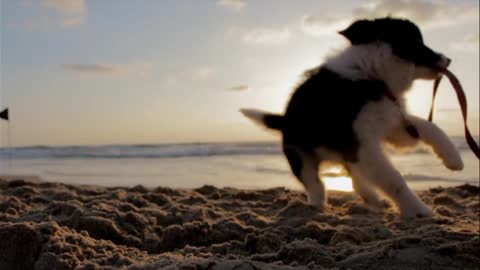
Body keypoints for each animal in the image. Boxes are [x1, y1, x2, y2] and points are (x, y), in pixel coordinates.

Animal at [242, 17, 464, 218]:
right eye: (417, 42)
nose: (449, 59)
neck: (371, 74)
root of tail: (284, 119)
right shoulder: (364, 143)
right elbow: (393, 178)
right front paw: (418, 210)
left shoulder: (391, 124)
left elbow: (428, 126)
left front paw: (453, 158)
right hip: (301, 155)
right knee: (315, 183)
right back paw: (317, 205)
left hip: (347, 153)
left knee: (356, 179)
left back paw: (373, 199)